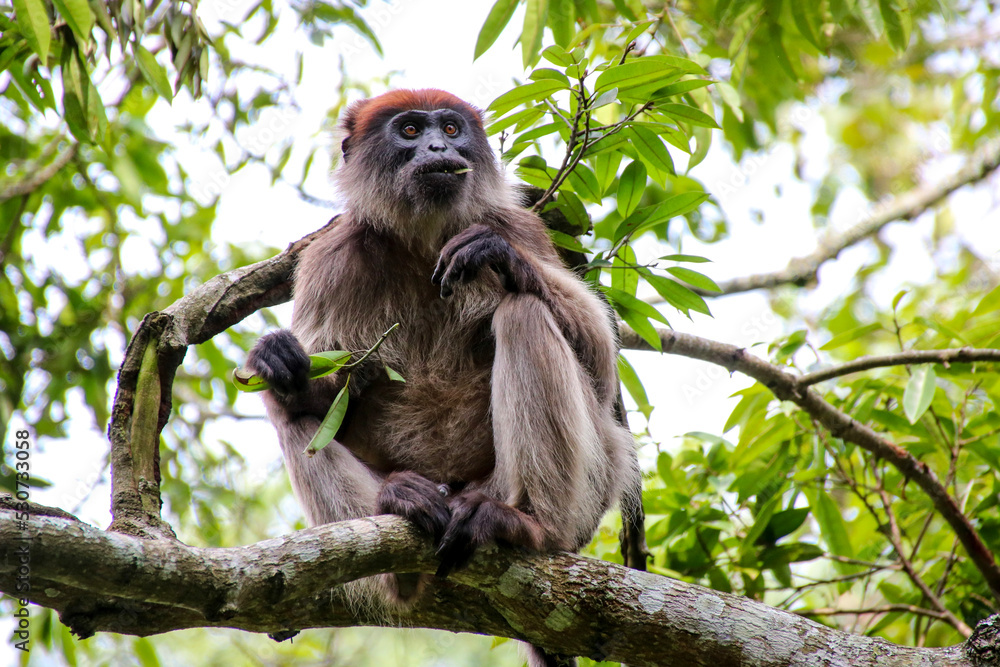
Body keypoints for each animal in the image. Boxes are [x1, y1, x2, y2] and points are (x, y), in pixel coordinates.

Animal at [245, 89, 643, 667]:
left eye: (451, 129)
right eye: (410, 131)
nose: (437, 147)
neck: (423, 241)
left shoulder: (518, 226)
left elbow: (601, 366)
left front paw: (499, 258)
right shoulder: (331, 258)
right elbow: (322, 395)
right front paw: (277, 359)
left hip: (586, 484)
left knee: (524, 312)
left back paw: (529, 527)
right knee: (291, 414)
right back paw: (401, 533)